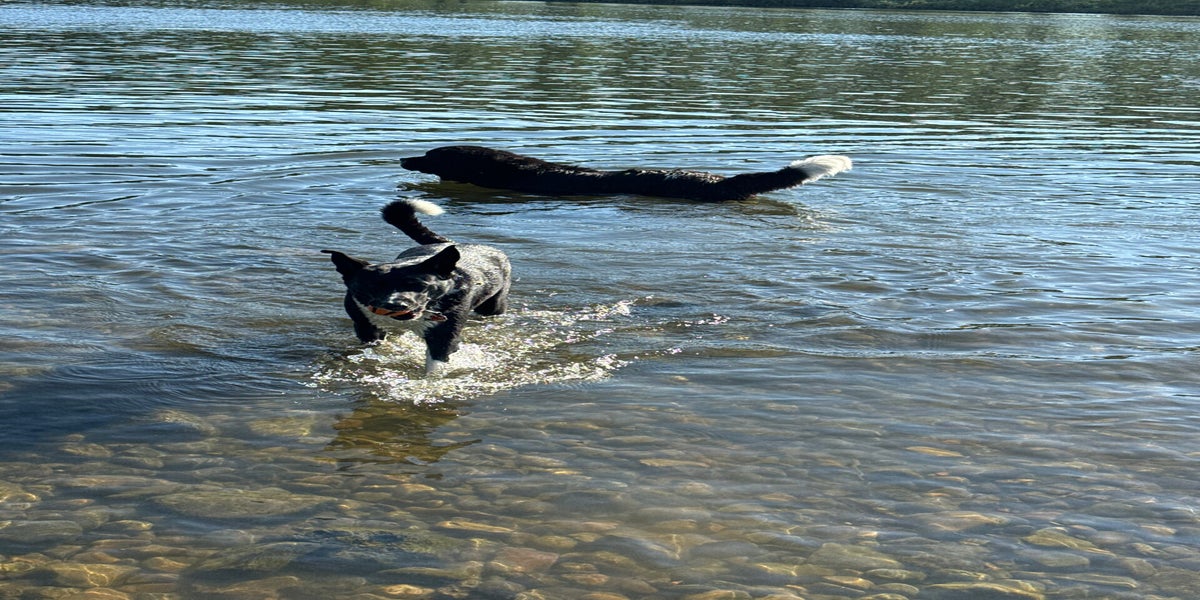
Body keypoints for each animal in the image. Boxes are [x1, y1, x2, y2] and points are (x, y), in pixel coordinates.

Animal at [323, 199, 511, 376]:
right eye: (372, 286)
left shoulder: (443, 336)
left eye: (420, 285)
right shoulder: (366, 327)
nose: (396, 305)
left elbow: (436, 364)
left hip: (493, 305)